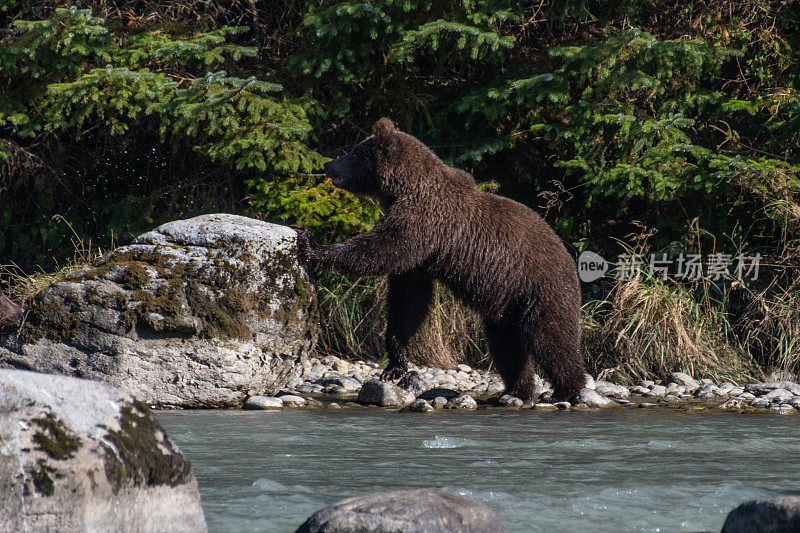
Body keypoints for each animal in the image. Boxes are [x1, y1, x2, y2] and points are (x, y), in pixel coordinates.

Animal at [296, 117, 584, 400]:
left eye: (354, 152)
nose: (328, 164)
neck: (404, 188)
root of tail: (569, 257)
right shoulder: (422, 254)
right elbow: (408, 300)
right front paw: (395, 364)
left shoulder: (424, 222)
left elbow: (380, 250)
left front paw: (311, 244)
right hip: (507, 302)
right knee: (506, 343)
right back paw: (515, 389)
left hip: (540, 288)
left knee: (552, 338)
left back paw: (567, 389)